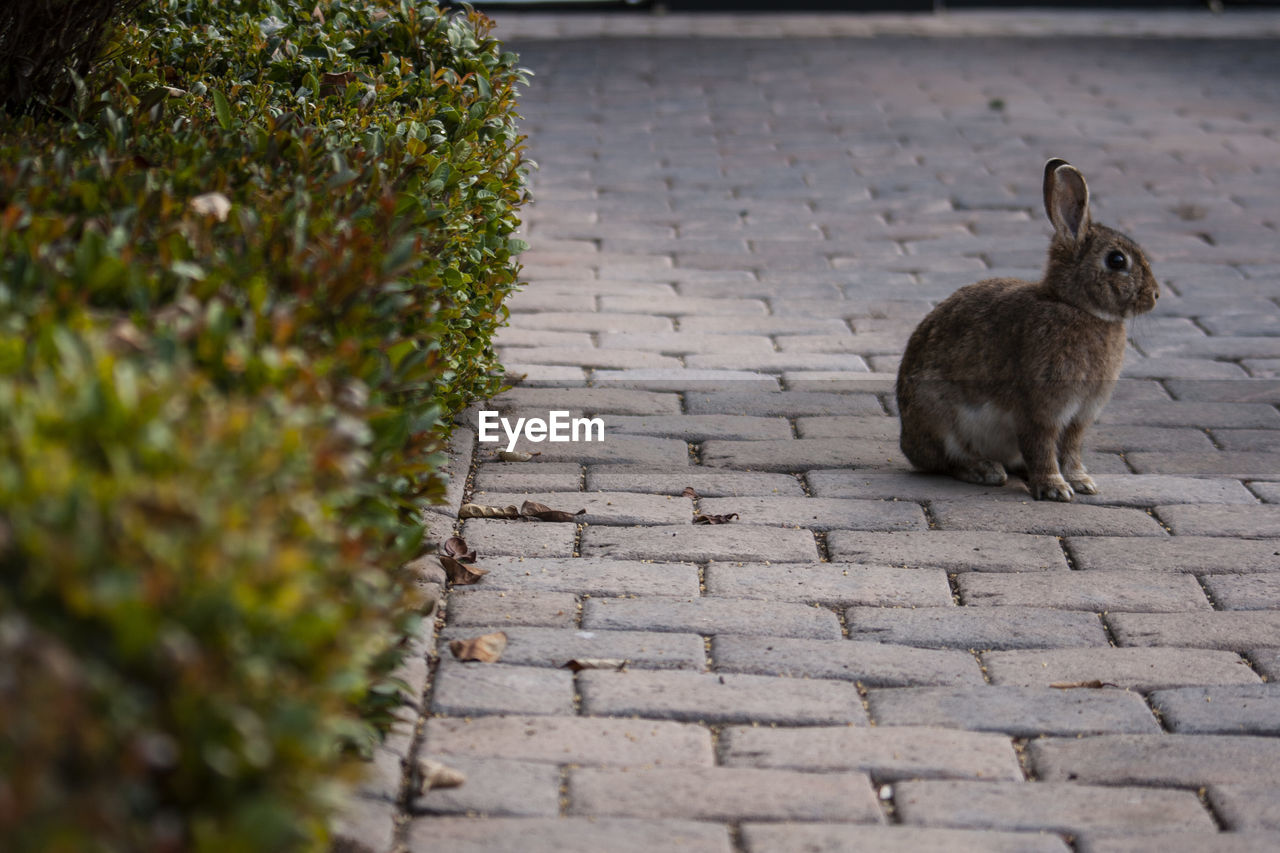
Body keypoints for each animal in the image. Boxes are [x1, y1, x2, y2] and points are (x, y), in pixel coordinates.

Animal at [901, 159, 1162, 499]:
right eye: (1117, 260)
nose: (1155, 295)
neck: (1075, 305)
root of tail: (906, 441)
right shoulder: (1040, 409)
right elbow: (1042, 447)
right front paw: (1055, 488)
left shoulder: (1080, 415)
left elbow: (1072, 448)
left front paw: (1082, 482)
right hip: (938, 415)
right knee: (947, 460)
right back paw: (985, 470)